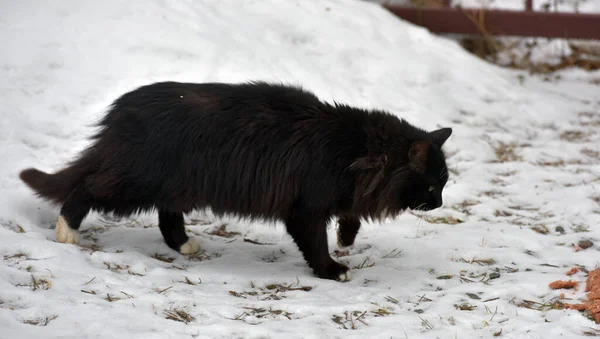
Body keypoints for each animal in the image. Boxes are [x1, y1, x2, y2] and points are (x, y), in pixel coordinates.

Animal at [18, 81, 452, 282]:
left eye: (444, 185)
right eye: (432, 186)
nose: (441, 204)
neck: (354, 150)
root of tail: (122, 109)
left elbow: (351, 217)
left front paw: (346, 238)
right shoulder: (306, 210)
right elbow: (316, 244)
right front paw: (332, 269)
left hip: (175, 184)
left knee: (166, 216)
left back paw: (184, 244)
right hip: (134, 181)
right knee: (85, 188)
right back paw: (67, 232)